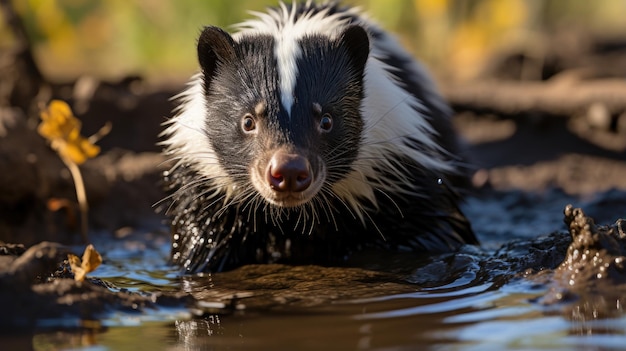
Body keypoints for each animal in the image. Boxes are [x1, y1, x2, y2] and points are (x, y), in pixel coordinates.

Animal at [162, 1, 478, 274]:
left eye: (326, 120)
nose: (289, 170)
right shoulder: (206, 191)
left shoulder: (403, 178)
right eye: (248, 121)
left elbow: (432, 233)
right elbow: (201, 246)